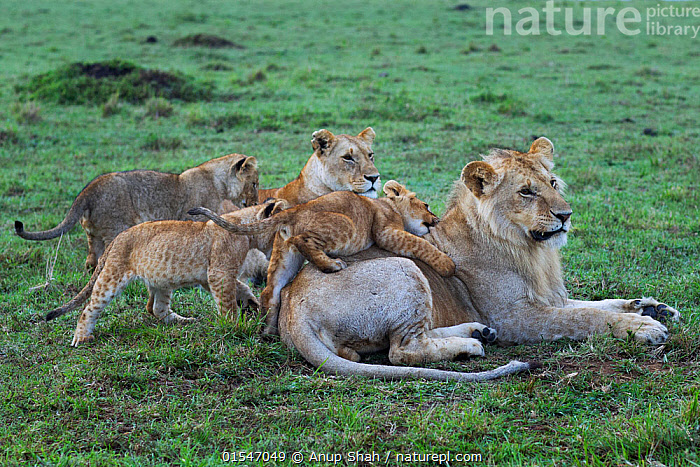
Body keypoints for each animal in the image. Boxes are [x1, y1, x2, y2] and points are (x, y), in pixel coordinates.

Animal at [15, 154, 260, 270]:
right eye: (255, 183)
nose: (257, 201)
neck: (219, 182)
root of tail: (88, 190)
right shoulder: (196, 217)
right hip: (116, 228)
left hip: (92, 234)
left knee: (90, 261)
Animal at [46, 198, 289, 347]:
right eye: (280, 228)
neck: (245, 228)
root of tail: (118, 237)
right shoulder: (219, 273)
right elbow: (228, 304)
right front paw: (234, 326)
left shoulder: (209, 277)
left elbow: (242, 287)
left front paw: (251, 302)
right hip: (112, 276)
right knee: (89, 307)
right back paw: (81, 337)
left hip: (162, 281)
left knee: (156, 308)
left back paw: (184, 321)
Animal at [189, 180, 456, 335]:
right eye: (426, 204)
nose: (436, 220)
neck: (388, 206)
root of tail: (292, 211)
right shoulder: (386, 232)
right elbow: (419, 243)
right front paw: (447, 265)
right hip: (345, 226)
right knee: (304, 240)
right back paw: (331, 265)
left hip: (284, 257)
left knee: (269, 291)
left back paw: (269, 331)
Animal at [273, 137, 680, 381]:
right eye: (526, 192)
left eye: (553, 184)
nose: (566, 215)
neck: (532, 250)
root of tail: (291, 308)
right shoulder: (516, 318)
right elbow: (586, 318)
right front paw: (644, 327)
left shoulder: (549, 298)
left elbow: (598, 304)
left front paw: (651, 307)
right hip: (404, 268)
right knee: (403, 351)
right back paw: (470, 345)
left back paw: (475, 332)